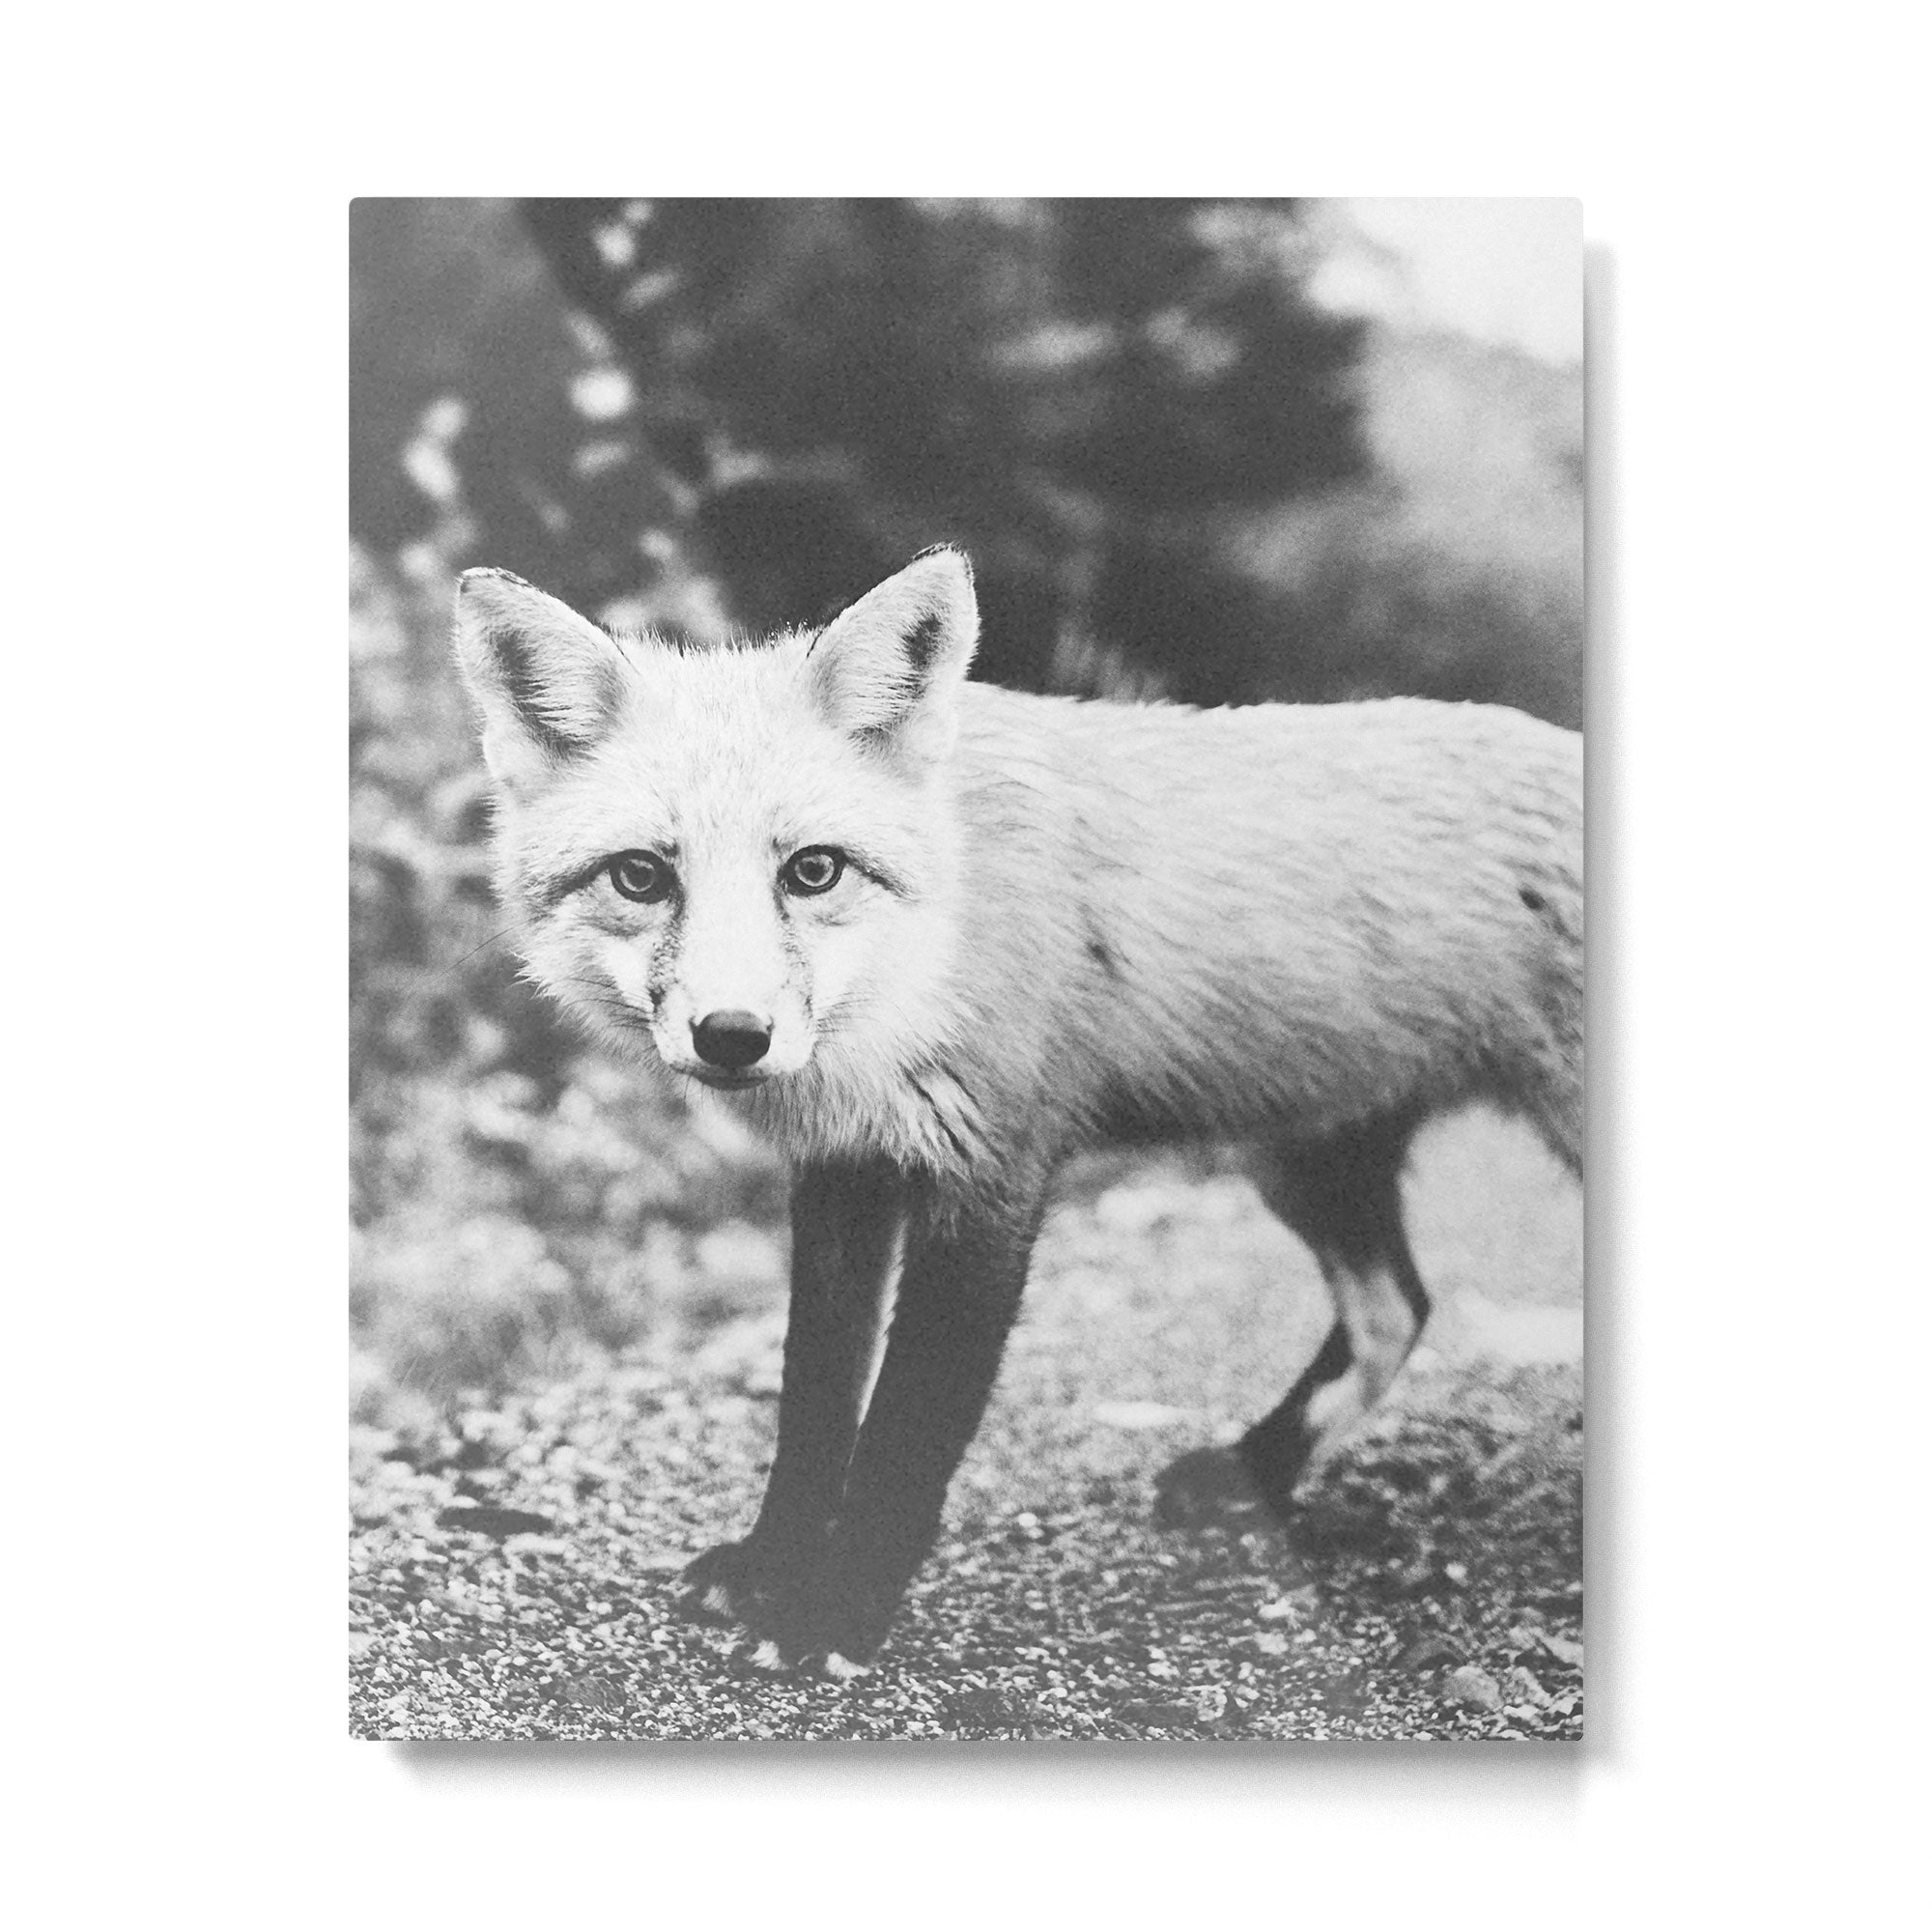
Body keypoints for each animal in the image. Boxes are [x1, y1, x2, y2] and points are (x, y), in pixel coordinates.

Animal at [452, 545, 1582, 1680]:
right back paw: (1252, 1470)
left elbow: (907, 1427)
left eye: (812, 869)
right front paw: (772, 1564)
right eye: (641, 876)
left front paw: (836, 1612)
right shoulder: (847, 1172)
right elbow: (813, 1401)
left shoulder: (993, 1171)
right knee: (1398, 1307)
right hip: (1297, 1159)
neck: (926, 957)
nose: (733, 1034)